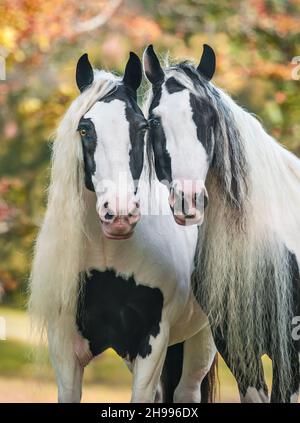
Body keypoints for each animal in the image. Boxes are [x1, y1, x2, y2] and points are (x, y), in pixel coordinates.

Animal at [28, 51, 217, 402]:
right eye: (85, 129)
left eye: (142, 127)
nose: (119, 214)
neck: (108, 259)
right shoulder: (65, 348)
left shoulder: (152, 343)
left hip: (204, 340)